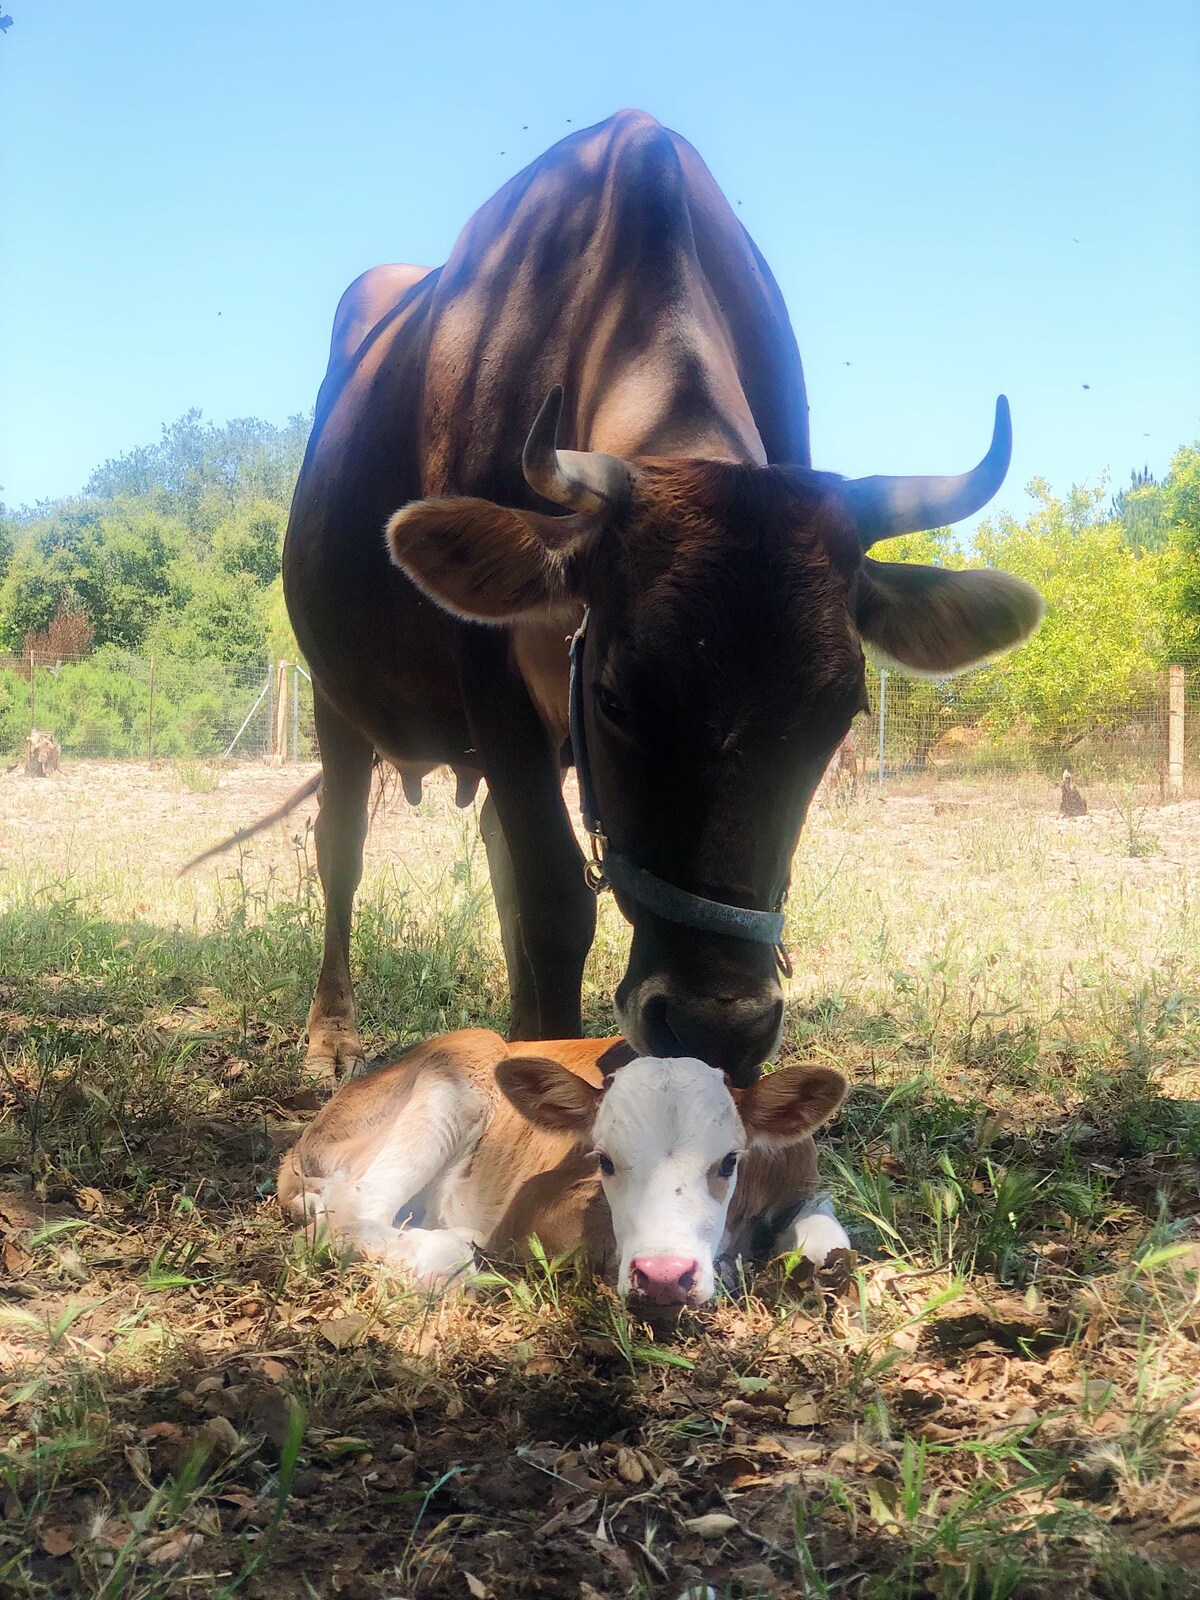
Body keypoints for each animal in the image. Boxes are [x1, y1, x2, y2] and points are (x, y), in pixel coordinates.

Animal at [276, 1030, 851, 1305]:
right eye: (605, 1159)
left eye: (730, 1161)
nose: (665, 1277)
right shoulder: (528, 1212)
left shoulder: (803, 1182)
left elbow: (831, 1245)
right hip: (462, 1064)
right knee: (346, 1213)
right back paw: (446, 1251)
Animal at [280, 109, 1043, 1088]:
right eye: (616, 699)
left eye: (841, 714)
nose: (719, 1027)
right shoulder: (493, 684)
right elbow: (554, 902)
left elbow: (529, 891)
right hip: (336, 697)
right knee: (342, 846)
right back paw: (333, 1035)